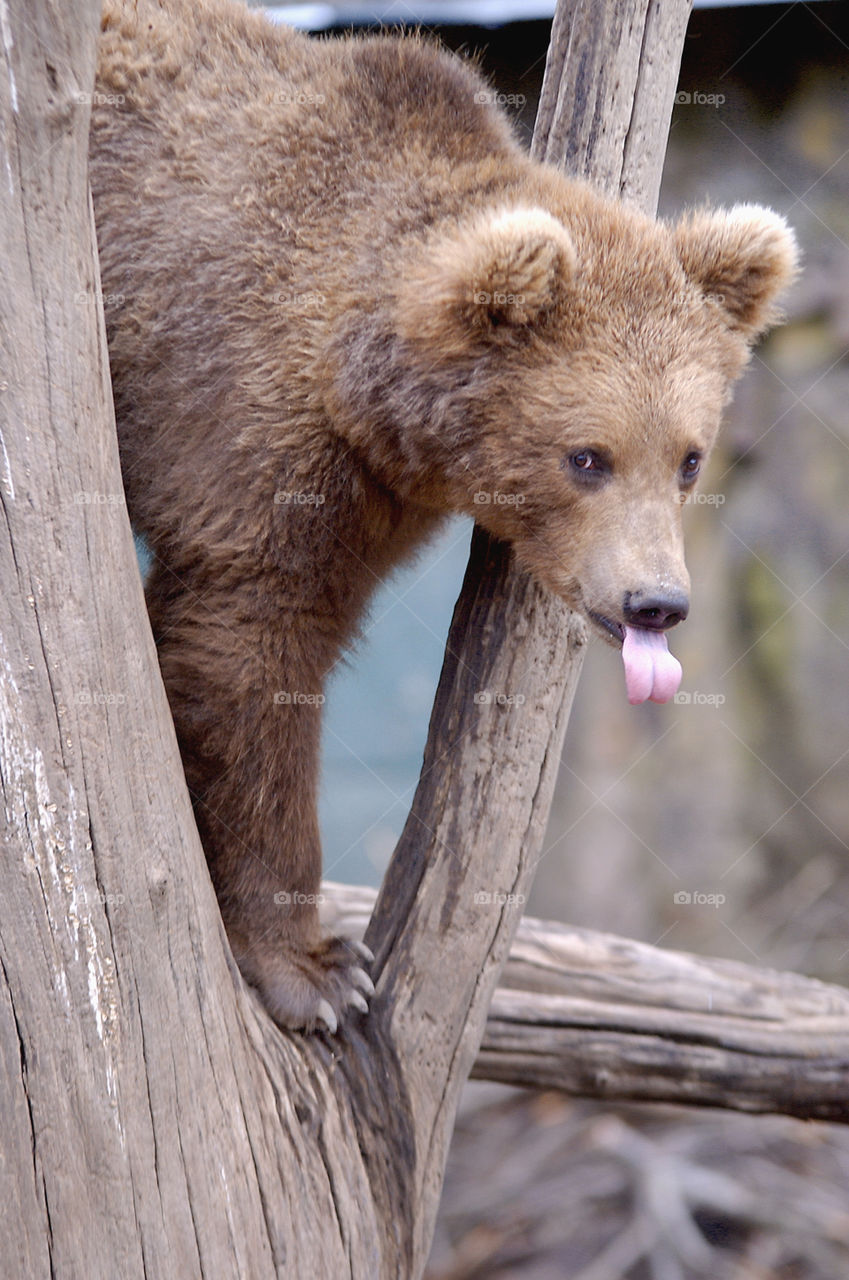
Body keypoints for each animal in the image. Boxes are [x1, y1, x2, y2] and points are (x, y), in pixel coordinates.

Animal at [89, 0, 799, 1029]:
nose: (656, 603)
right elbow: (246, 658)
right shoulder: (244, 427)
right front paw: (317, 970)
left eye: (688, 457)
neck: (366, 399)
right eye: (587, 456)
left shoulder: (368, 498)